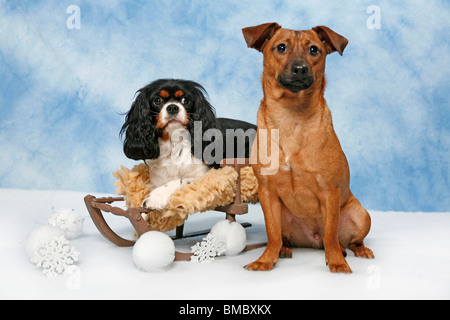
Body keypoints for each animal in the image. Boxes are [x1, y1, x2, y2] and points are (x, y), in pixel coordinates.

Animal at [243, 22, 372, 272]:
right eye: (280, 47)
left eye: (314, 50)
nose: (300, 69)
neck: (291, 117)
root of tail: (312, 240)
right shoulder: (267, 193)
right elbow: (272, 234)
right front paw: (265, 260)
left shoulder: (329, 191)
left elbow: (330, 234)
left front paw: (337, 263)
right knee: (283, 238)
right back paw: (283, 250)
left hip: (361, 215)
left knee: (343, 240)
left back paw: (353, 250)